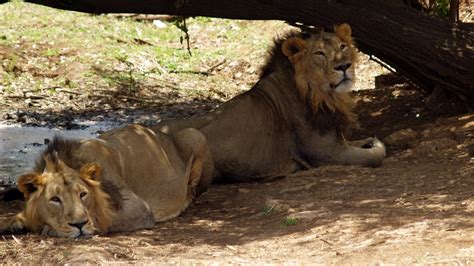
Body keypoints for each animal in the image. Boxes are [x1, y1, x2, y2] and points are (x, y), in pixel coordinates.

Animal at [0, 125, 212, 238]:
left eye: (83, 194)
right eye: (55, 199)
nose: (79, 225)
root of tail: (161, 132)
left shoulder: (139, 207)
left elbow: (102, 218)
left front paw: (47, 228)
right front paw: (14, 222)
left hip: (195, 135)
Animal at [154, 23, 386, 182]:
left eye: (343, 46)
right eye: (319, 53)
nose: (345, 66)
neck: (324, 95)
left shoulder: (338, 142)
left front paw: (368, 140)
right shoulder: (326, 154)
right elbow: (376, 155)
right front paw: (375, 143)